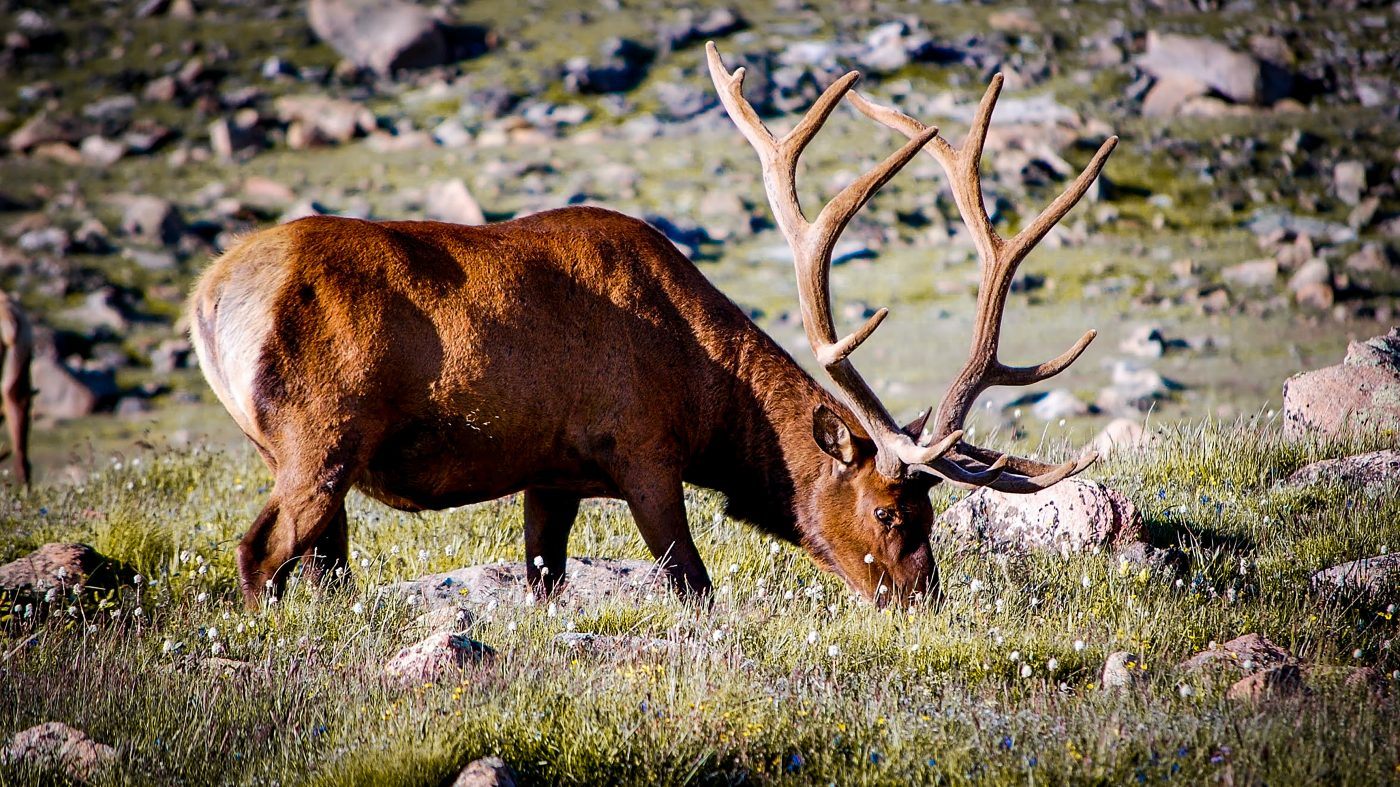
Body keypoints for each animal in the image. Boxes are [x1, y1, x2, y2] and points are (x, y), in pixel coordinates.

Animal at [188, 42, 1116, 611]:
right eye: (892, 512)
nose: (923, 600)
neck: (708, 396)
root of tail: (210, 298)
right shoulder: (643, 451)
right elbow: (693, 584)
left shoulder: (550, 473)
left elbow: (545, 577)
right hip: (319, 434)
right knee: (259, 553)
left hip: (303, 454)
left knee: (321, 563)